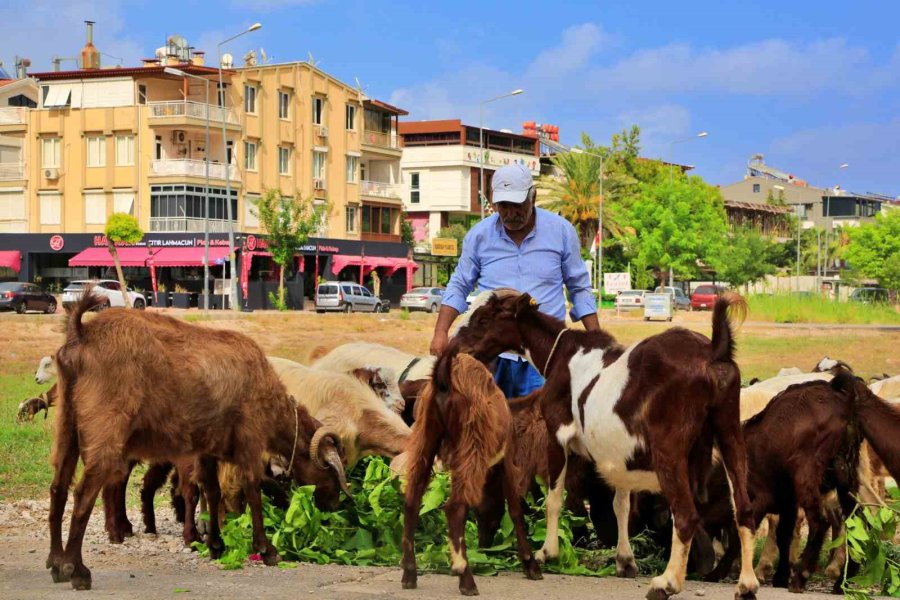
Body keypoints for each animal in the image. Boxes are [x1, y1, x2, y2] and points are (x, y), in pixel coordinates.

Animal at [45, 290, 350, 592]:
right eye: (332, 474)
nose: (334, 508)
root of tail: (82, 334)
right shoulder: (249, 440)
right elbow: (252, 490)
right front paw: (266, 550)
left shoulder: (207, 450)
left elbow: (212, 491)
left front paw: (216, 544)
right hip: (105, 429)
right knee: (83, 494)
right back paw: (77, 570)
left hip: (67, 425)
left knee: (58, 488)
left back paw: (56, 563)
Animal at [400, 354, 540, 592]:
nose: (485, 546)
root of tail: (445, 377)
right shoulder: (506, 459)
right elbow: (515, 507)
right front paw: (530, 564)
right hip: (472, 441)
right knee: (455, 507)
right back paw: (465, 578)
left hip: (425, 435)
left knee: (412, 499)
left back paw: (409, 574)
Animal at [450, 290, 760, 600]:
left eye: (484, 318)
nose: (455, 346)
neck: (561, 355)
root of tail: (714, 352)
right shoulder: (617, 450)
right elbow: (620, 504)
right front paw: (625, 561)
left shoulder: (557, 434)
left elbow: (554, 498)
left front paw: (547, 553)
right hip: (730, 431)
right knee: (744, 509)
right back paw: (746, 585)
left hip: (669, 449)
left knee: (685, 515)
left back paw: (666, 583)